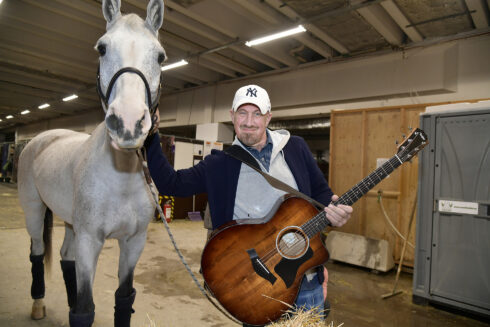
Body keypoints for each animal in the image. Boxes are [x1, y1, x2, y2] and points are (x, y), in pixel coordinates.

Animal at [17, 1, 167, 326]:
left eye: (160, 56)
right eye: (102, 48)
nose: (128, 124)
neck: (121, 176)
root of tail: (40, 138)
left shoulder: (133, 242)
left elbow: (123, 298)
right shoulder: (90, 241)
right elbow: (85, 309)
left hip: (70, 223)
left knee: (64, 256)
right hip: (35, 211)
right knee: (37, 252)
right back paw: (38, 305)